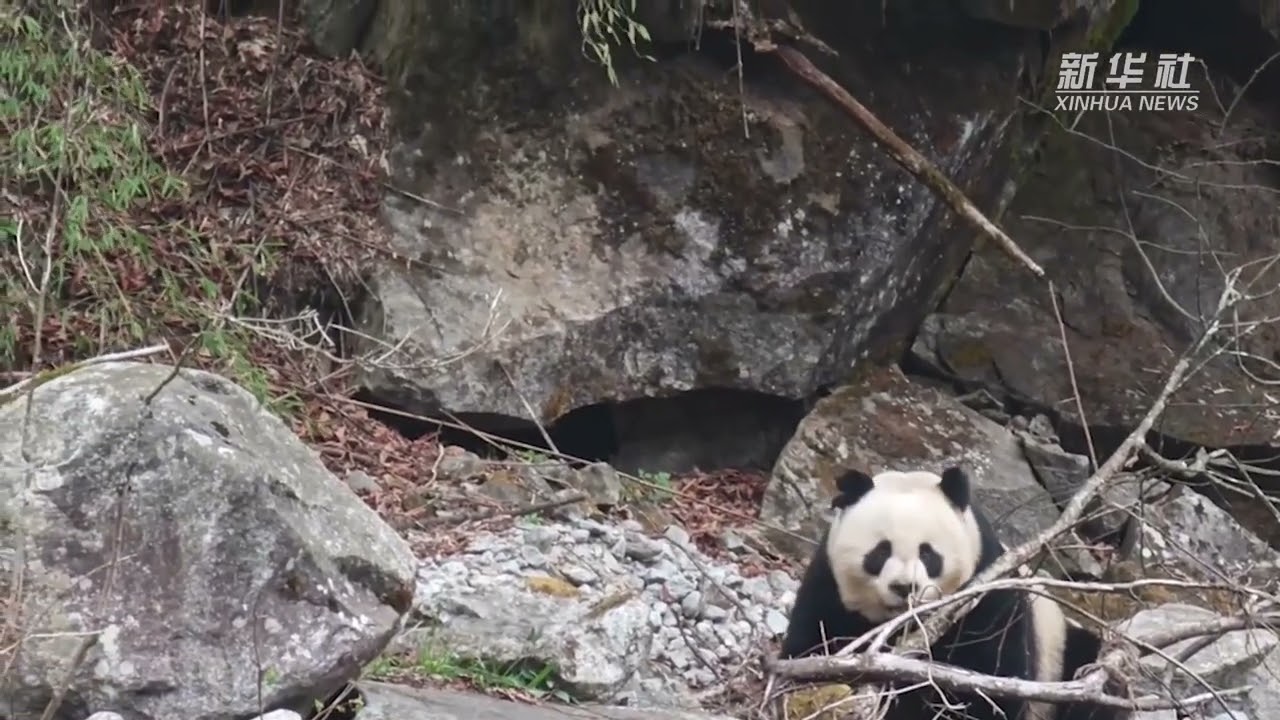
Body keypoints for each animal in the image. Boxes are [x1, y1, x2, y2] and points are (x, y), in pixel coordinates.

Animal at [779, 465, 1123, 720]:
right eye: (880, 552)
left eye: (928, 554)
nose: (904, 587)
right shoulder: (828, 587)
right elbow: (809, 645)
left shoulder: (985, 596)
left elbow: (987, 679)